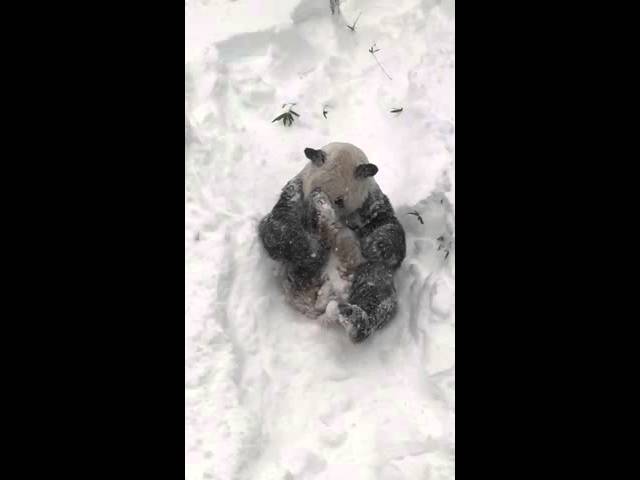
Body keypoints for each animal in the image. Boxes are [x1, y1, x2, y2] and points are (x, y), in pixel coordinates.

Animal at [256, 141, 402, 344]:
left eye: (340, 200)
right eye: (316, 188)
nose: (319, 218)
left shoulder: (370, 201)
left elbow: (387, 226)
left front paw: (377, 246)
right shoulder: (296, 191)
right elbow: (276, 227)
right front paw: (311, 247)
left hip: (364, 274)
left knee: (376, 288)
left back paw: (356, 320)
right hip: (298, 275)